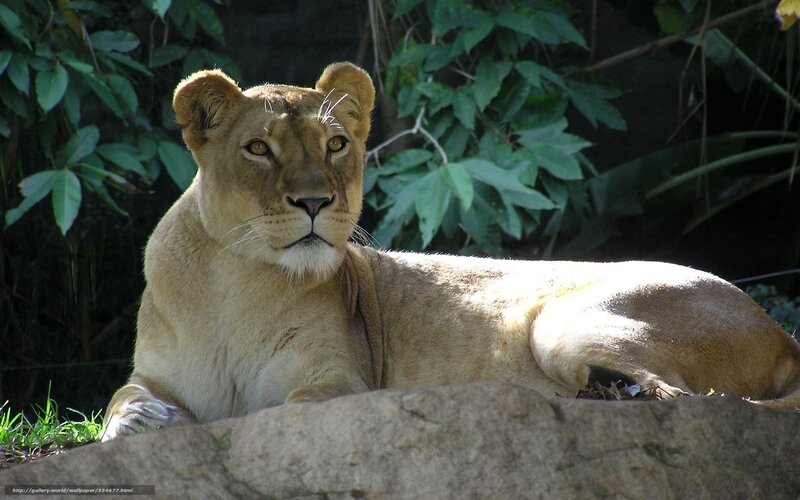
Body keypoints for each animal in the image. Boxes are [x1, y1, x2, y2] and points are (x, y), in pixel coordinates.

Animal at [101, 62, 800, 440]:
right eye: (257, 149)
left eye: (335, 145)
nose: (315, 202)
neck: (236, 282)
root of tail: (778, 329)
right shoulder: (154, 374)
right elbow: (120, 398)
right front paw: (135, 425)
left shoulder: (343, 380)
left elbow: (287, 410)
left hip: (561, 324)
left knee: (689, 400)